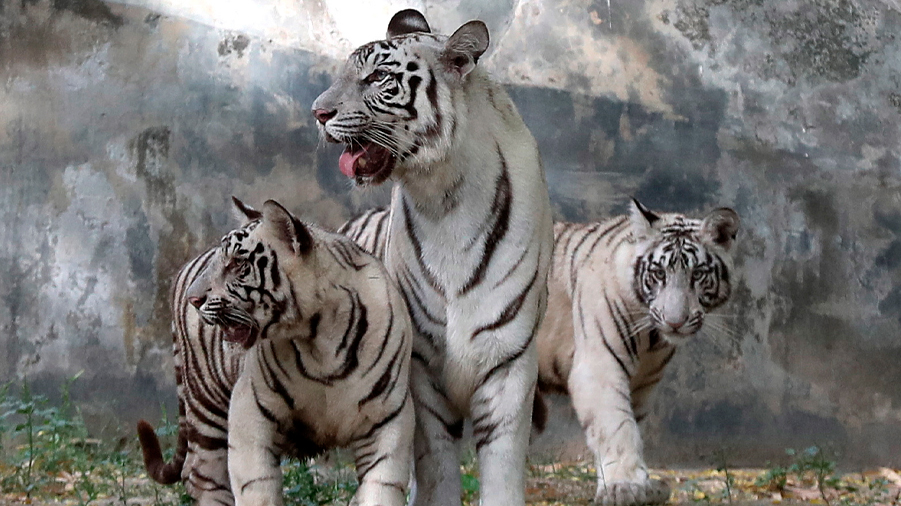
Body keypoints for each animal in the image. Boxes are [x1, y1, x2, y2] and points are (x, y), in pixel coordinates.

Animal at [135, 199, 416, 506]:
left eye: (237, 263)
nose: (193, 299)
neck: (321, 343)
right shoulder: (249, 408)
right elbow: (257, 486)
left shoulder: (387, 419)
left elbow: (381, 488)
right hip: (206, 403)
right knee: (201, 476)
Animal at [314, 8, 556, 506]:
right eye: (345, 72)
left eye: (377, 77)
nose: (317, 113)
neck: (445, 198)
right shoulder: (423, 367)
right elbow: (436, 468)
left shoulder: (508, 363)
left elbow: (502, 472)